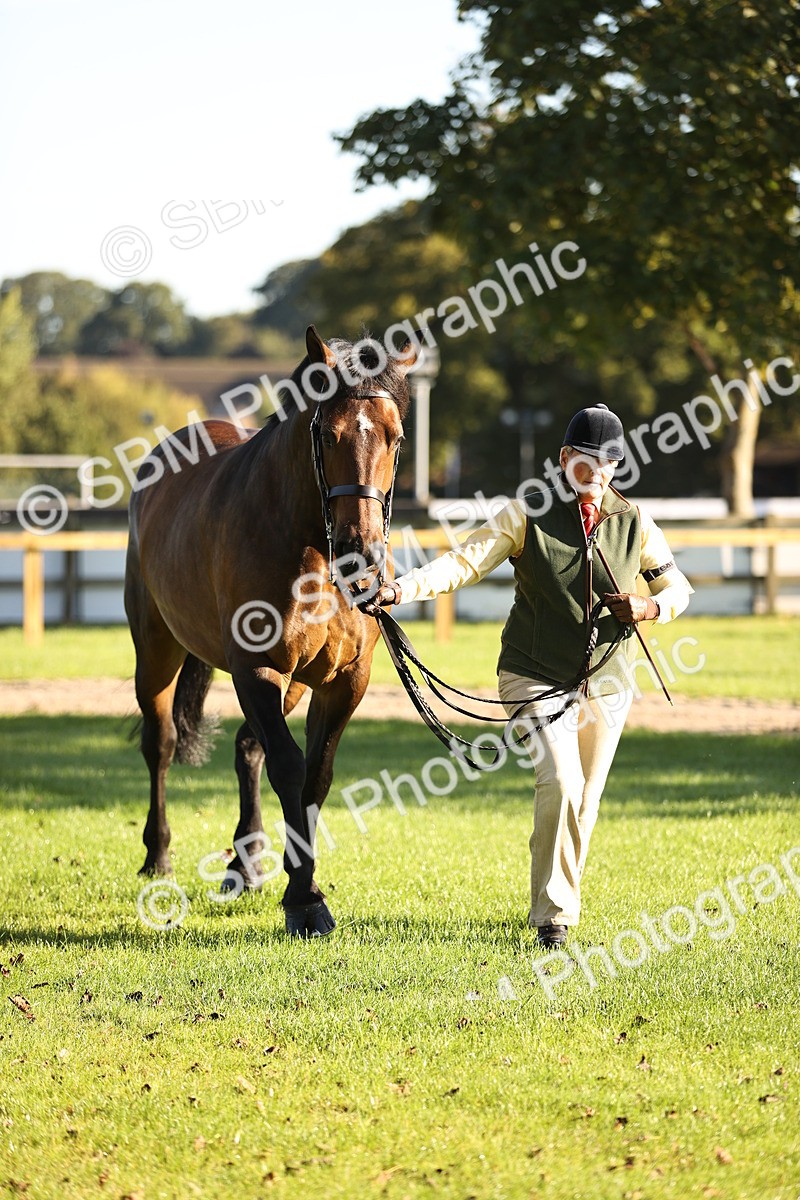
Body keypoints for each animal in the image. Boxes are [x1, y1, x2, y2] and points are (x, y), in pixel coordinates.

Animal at [124, 326, 417, 936]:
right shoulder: (257, 668)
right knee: (161, 743)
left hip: (295, 680)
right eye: (326, 434)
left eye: (396, 438)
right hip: (156, 648)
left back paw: (246, 860)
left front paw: (294, 879)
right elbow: (289, 766)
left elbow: (315, 776)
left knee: (246, 747)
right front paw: (305, 898)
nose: (360, 550)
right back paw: (158, 855)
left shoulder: (343, 680)